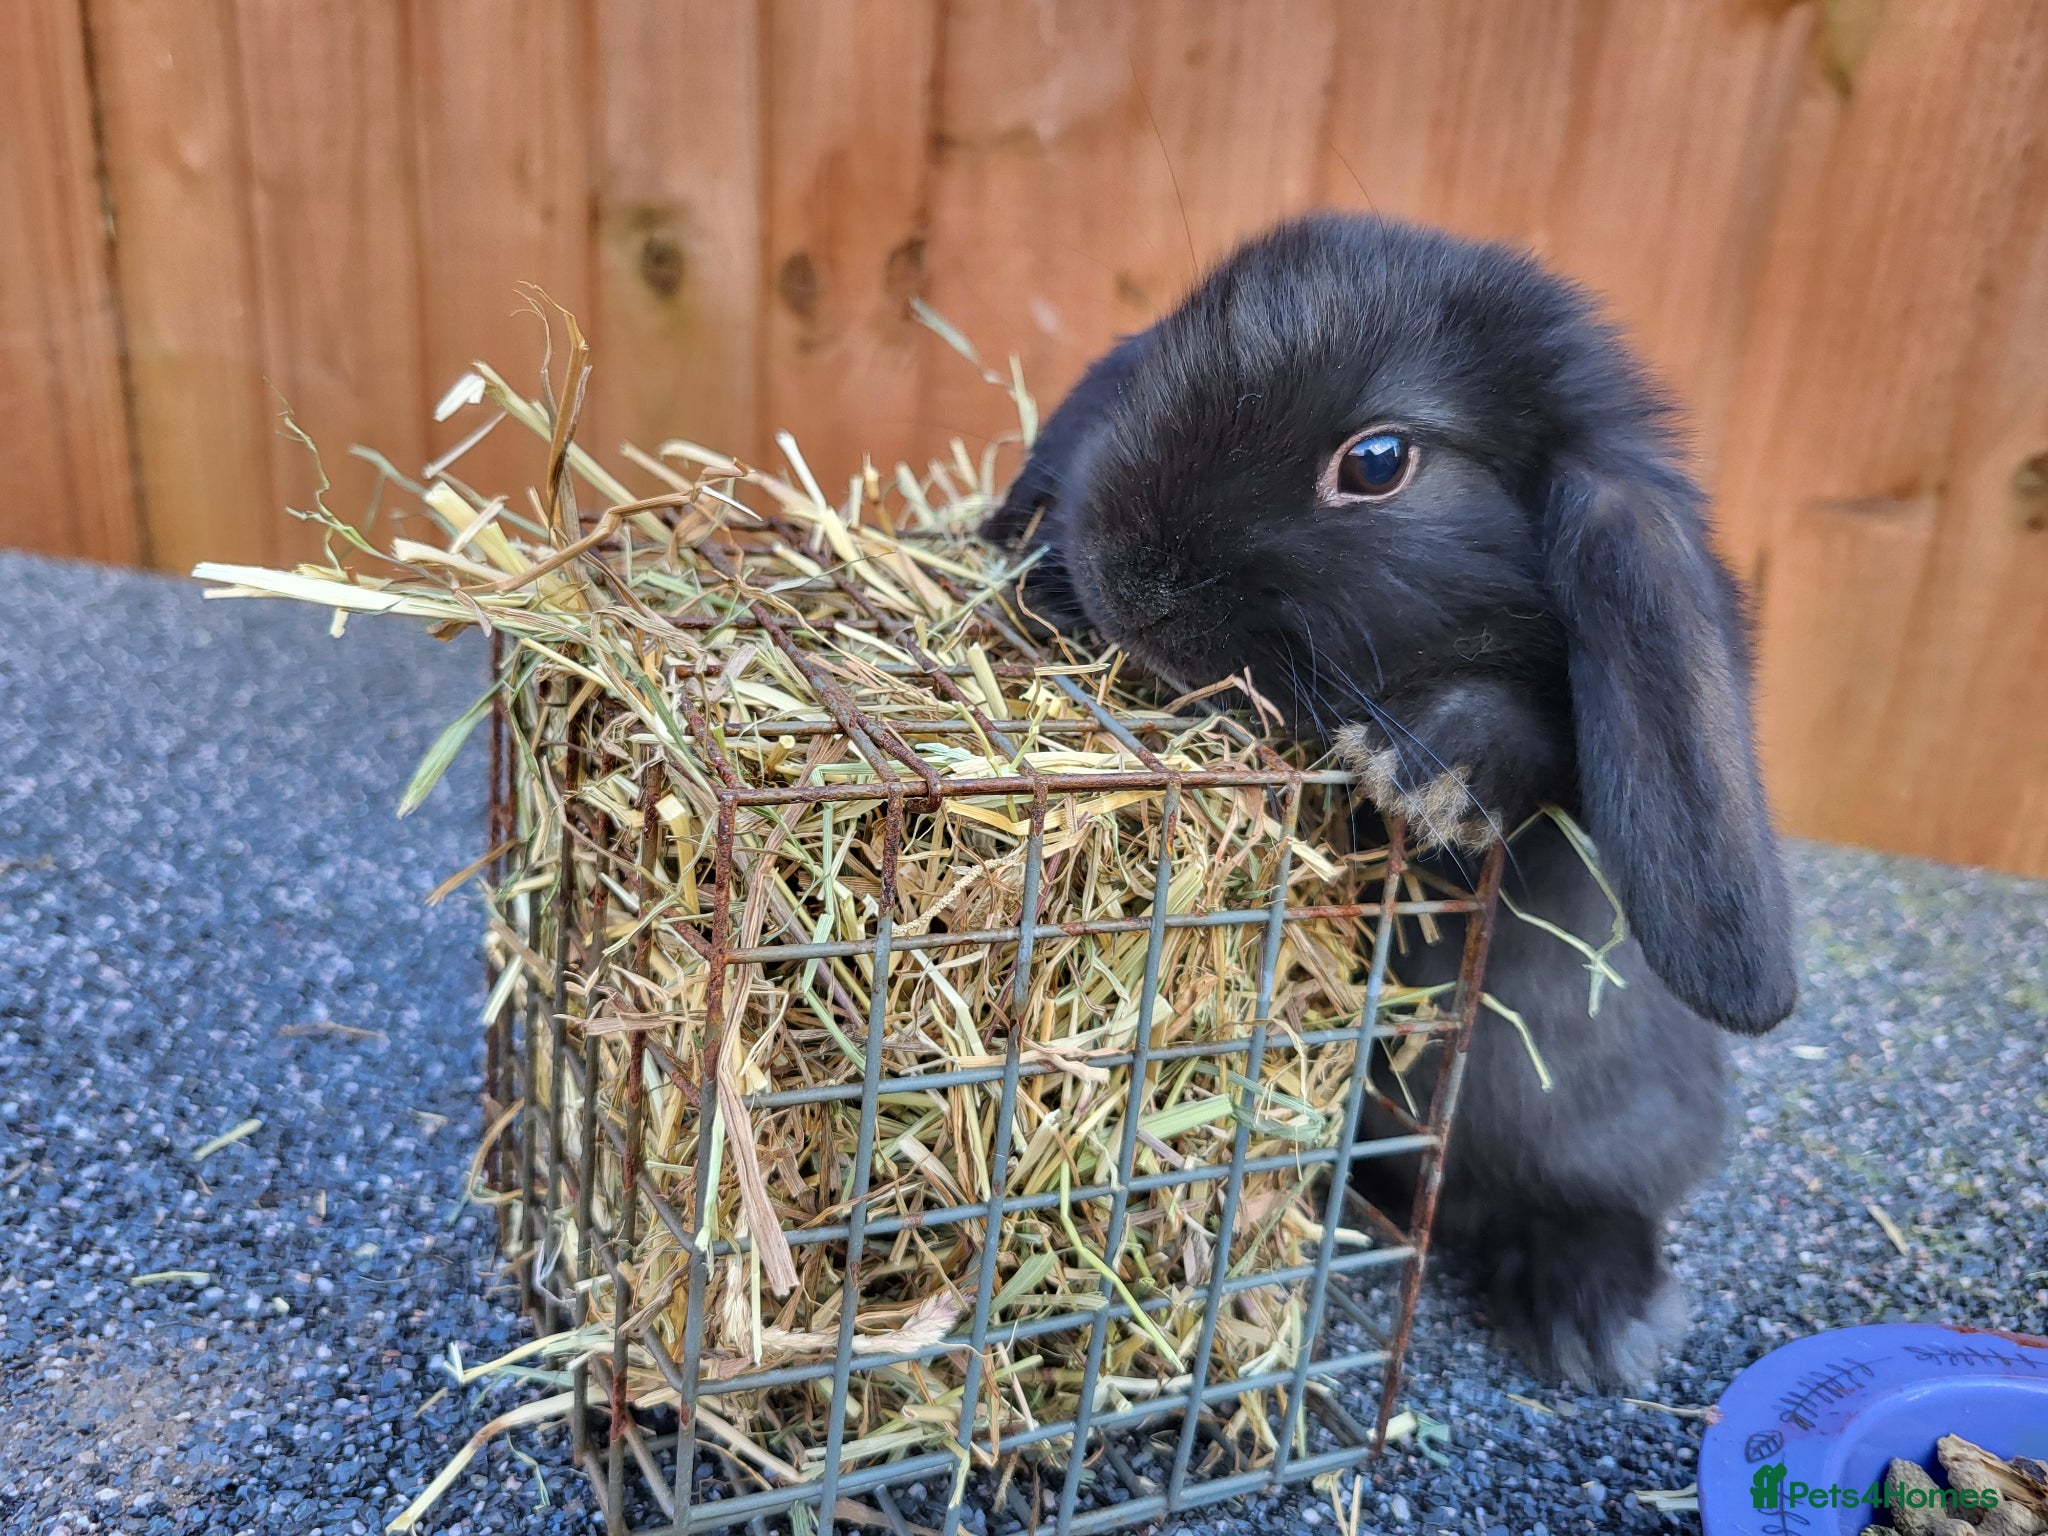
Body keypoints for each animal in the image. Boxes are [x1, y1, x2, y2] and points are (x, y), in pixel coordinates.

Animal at [984, 213, 1799, 1388]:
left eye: (1376, 462)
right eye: (1154, 366)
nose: (1128, 584)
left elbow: (1529, 735)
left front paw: (1423, 773)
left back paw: (1600, 1320)